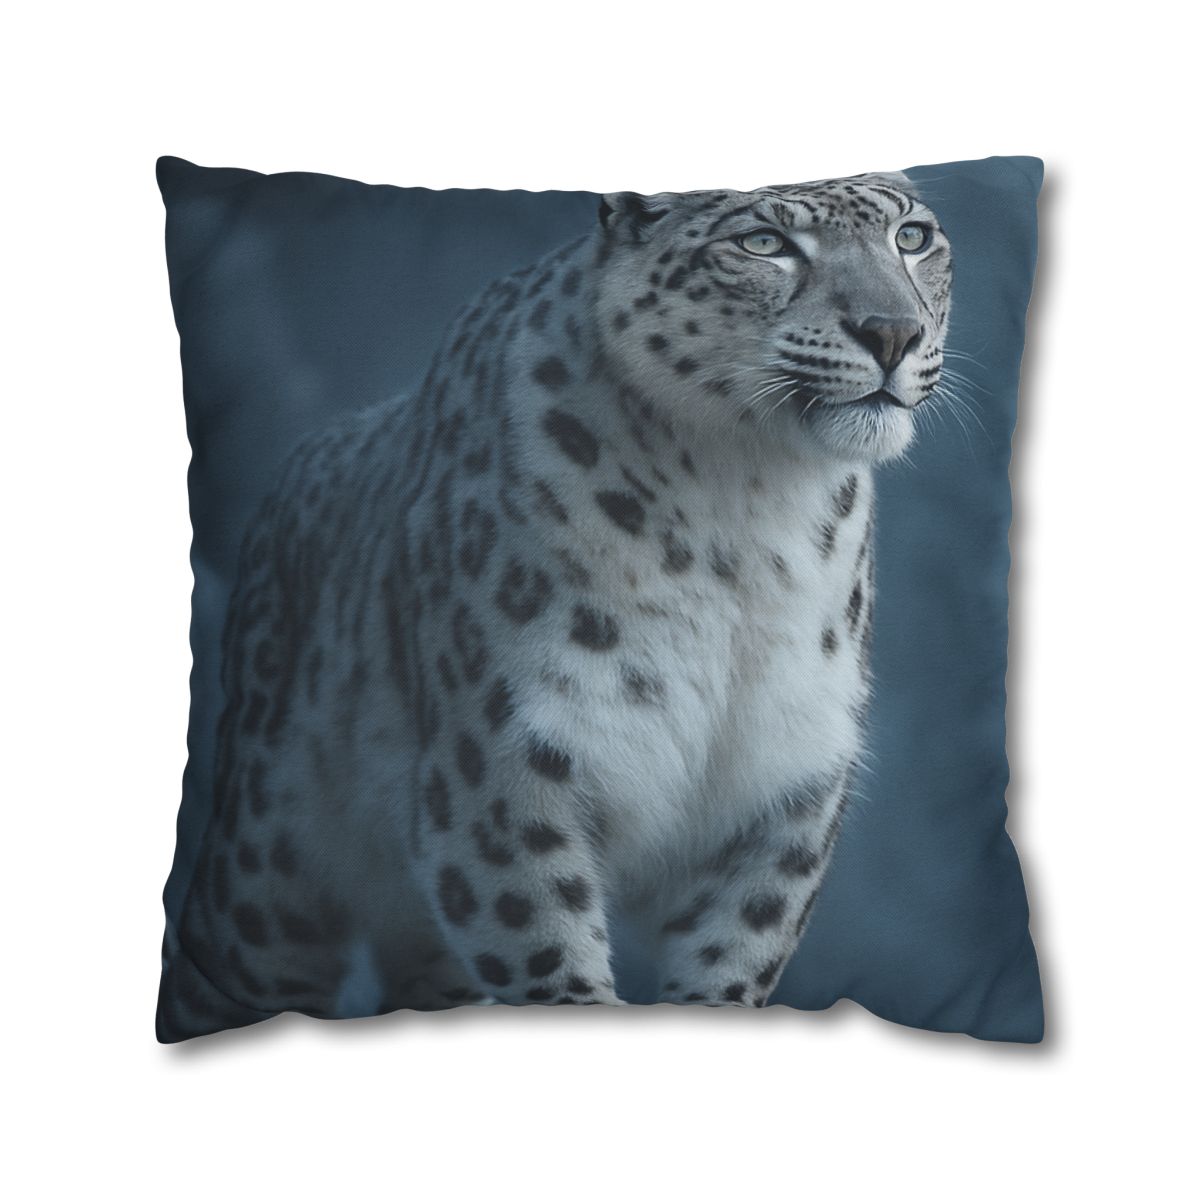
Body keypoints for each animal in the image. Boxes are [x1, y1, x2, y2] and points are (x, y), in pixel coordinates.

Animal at [157, 172, 953, 1040]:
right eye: (764, 243)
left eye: (912, 238)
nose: (893, 333)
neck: (749, 510)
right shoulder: (502, 771)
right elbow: (549, 955)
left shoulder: (781, 790)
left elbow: (729, 962)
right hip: (268, 877)